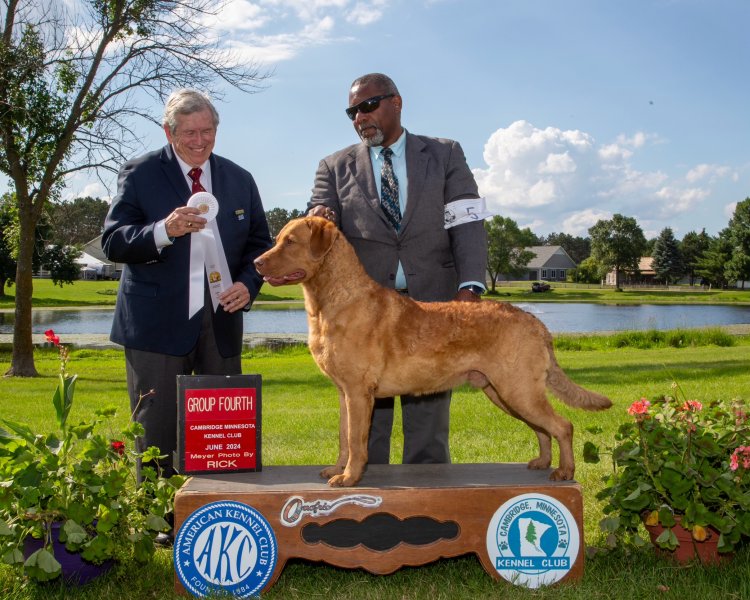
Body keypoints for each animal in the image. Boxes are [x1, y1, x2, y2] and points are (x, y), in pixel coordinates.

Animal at [254, 217, 612, 488]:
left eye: (290, 242)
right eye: (278, 239)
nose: (256, 262)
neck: (335, 299)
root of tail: (537, 322)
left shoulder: (359, 392)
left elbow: (356, 441)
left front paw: (350, 478)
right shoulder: (345, 393)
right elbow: (344, 437)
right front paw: (337, 468)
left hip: (518, 389)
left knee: (563, 425)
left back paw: (565, 471)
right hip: (505, 392)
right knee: (542, 428)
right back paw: (542, 461)